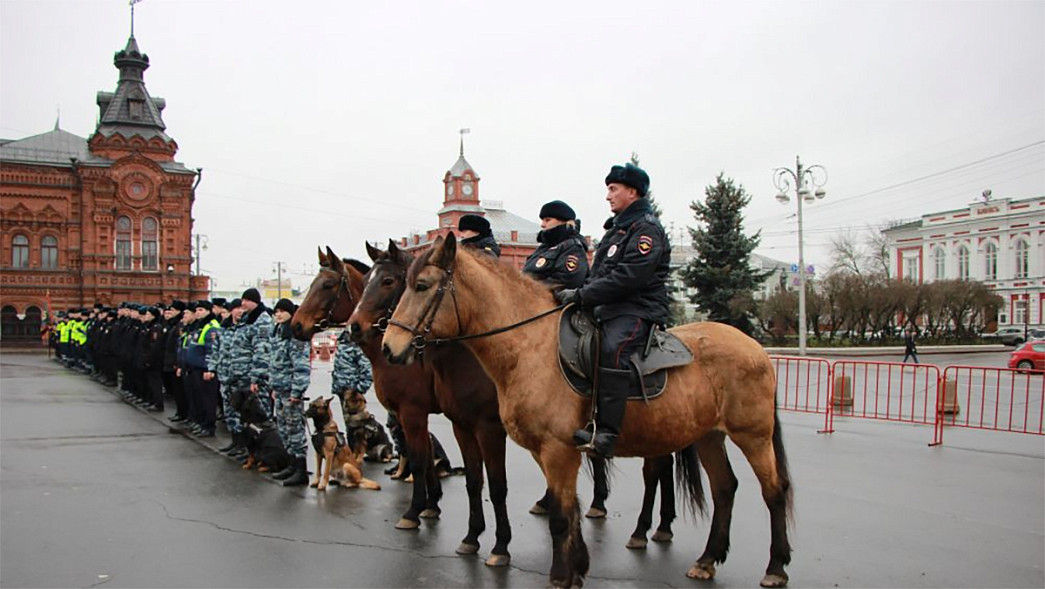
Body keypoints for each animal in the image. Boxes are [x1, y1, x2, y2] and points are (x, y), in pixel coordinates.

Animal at [290, 248, 445, 534]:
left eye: (327, 285)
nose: (296, 325)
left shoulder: (413, 412)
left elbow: (419, 458)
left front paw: (414, 510)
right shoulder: (413, 415)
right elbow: (427, 457)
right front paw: (432, 504)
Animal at [346, 240, 514, 563]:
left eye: (388, 281)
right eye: (366, 280)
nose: (354, 326)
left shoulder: (484, 427)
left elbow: (494, 484)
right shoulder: (455, 423)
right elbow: (469, 478)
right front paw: (463, 530)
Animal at [382, 234, 790, 588]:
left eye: (420, 286)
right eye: (401, 284)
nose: (389, 347)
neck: (530, 347)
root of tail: (754, 346)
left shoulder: (556, 450)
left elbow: (561, 516)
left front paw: (560, 575)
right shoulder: (541, 451)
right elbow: (567, 509)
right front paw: (576, 568)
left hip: (753, 436)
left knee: (774, 491)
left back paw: (776, 567)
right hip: (709, 437)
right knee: (724, 489)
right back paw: (706, 560)